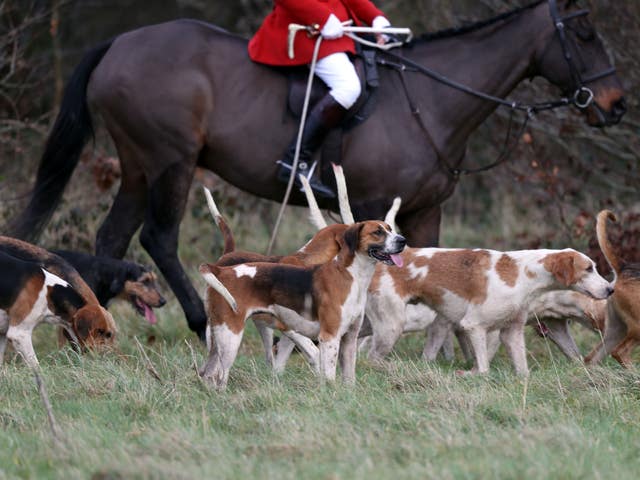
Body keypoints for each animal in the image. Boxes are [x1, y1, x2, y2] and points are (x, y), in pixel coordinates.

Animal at [6, 0, 624, 340]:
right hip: (169, 162)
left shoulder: (426, 210)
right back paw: (197, 321)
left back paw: (95, 322)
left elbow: (436, 271)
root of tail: (118, 44)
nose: (616, 105)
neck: (429, 99)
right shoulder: (378, 210)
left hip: (137, 167)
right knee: (159, 236)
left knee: (113, 237)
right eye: (584, 32)